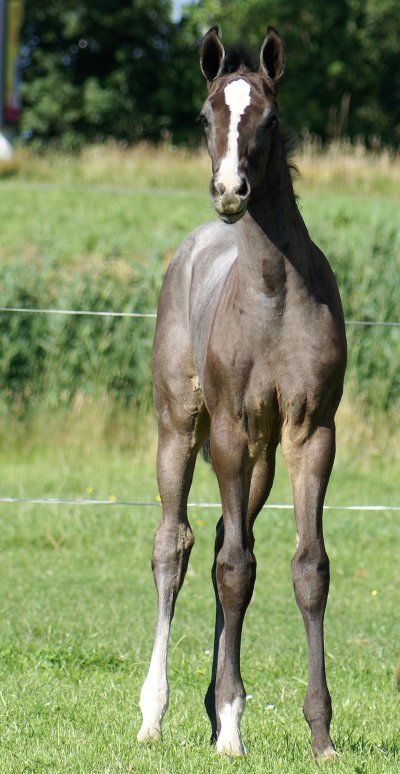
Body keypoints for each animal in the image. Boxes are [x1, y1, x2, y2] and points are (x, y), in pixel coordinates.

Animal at [138, 25, 346, 764]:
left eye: (270, 116)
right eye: (206, 116)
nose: (231, 190)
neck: (273, 295)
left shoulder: (311, 431)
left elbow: (305, 569)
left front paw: (321, 735)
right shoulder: (229, 427)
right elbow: (233, 569)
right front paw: (230, 727)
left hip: (257, 460)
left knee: (231, 542)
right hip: (182, 427)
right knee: (176, 546)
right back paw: (155, 713)